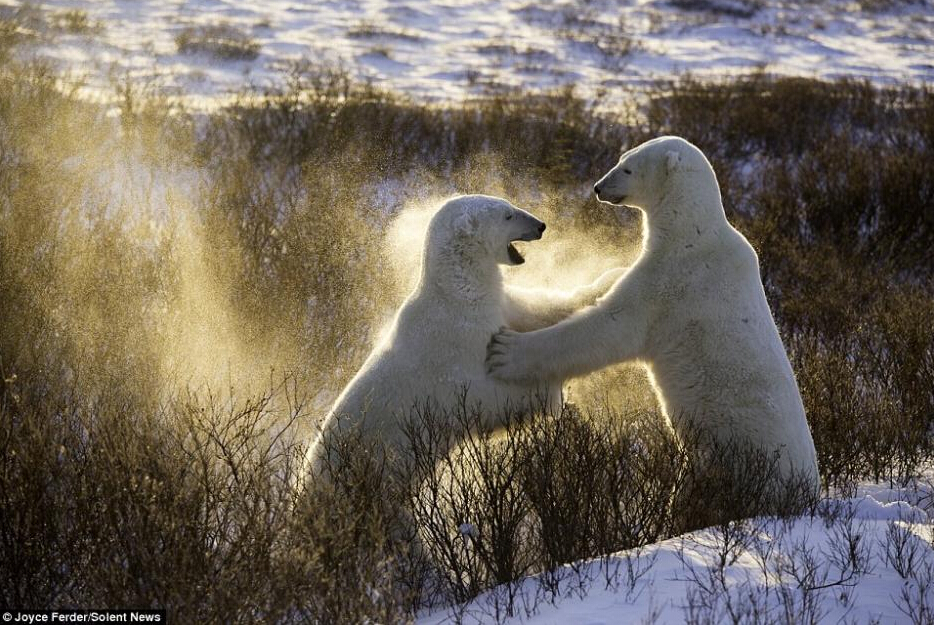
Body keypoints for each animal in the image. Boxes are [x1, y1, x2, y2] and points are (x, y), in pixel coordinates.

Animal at [310, 193, 624, 476]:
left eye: (510, 205)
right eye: (508, 215)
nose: (541, 225)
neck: (457, 293)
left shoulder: (497, 306)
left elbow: (540, 309)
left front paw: (612, 275)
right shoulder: (456, 347)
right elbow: (484, 397)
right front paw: (551, 390)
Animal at [486, 135, 824, 492]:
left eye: (628, 168)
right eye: (621, 158)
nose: (598, 187)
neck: (692, 232)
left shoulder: (671, 283)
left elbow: (611, 327)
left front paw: (505, 352)